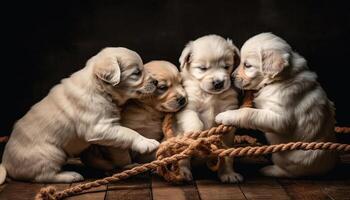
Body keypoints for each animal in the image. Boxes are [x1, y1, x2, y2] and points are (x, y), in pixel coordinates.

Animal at [0, 47, 160, 183]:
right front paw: (147, 142)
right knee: (43, 176)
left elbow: (120, 144)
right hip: (51, 153)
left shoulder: (111, 128)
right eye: (136, 73)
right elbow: (128, 132)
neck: (100, 88)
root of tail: (5, 163)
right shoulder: (98, 127)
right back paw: (70, 175)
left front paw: (126, 164)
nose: (156, 82)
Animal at [175, 34, 243, 183]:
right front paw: (196, 135)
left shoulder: (228, 106)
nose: (218, 83)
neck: (210, 95)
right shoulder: (188, 107)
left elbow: (227, 155)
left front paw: (228, 174)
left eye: (226, 66)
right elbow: (196, 122)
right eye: (202, 68)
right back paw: (183, 173)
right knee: (182, 158)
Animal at [215, 33, 338, 178]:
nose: (232, 77)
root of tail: (330, 166)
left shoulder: (282, 118)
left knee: (289, 172)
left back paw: (269, 170)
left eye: (247, 65)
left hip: (289, 159)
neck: (278, 80)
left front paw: (224, 115)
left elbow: (249, 112)